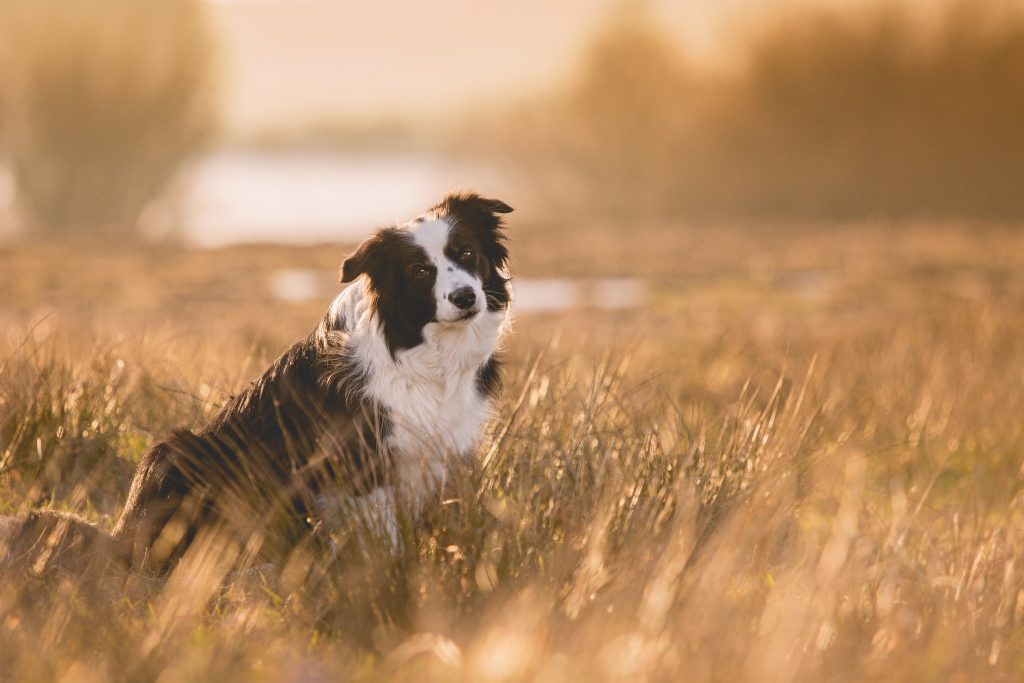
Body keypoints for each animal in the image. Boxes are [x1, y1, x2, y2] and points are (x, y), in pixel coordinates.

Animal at [0, 191, 512, 577]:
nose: (465, 297)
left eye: (466, 253)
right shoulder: (367, 463)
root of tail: (118, 540)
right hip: (173, 450)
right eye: (420, 271)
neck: (427, 352)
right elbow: (383, 539)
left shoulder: (444, 452)